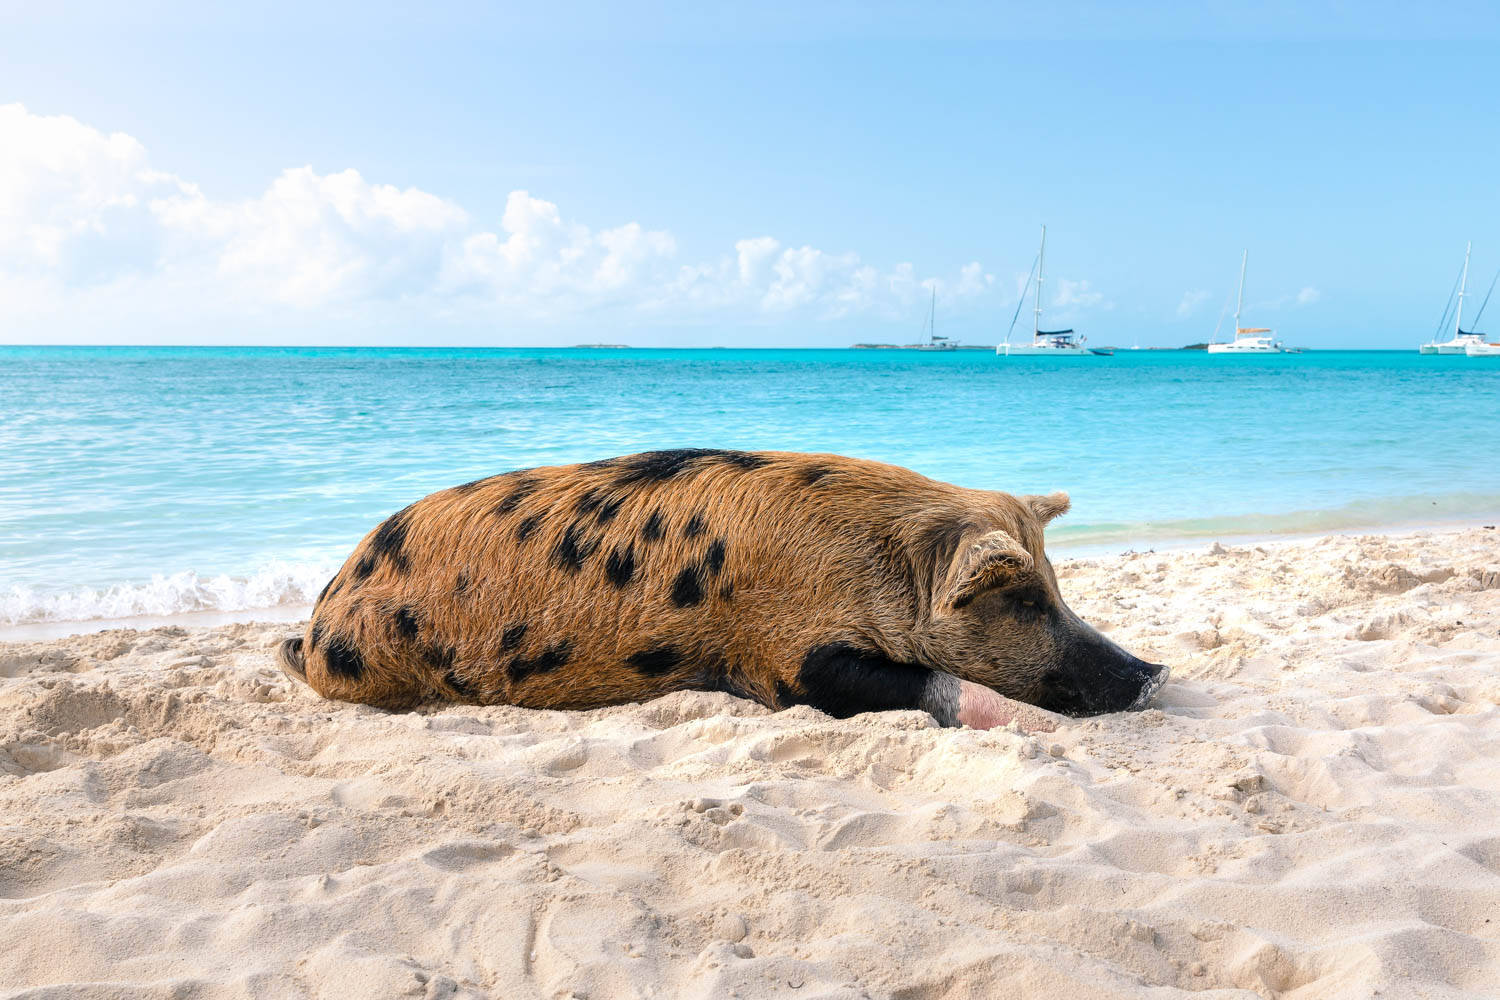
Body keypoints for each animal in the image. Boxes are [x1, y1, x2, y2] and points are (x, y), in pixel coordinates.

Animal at [282, 452, 1170, 728]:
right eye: (1024, 601)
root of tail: (319, 613)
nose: (1153, 673)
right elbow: (923, 681)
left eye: (1056, 586)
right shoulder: (785, 658)